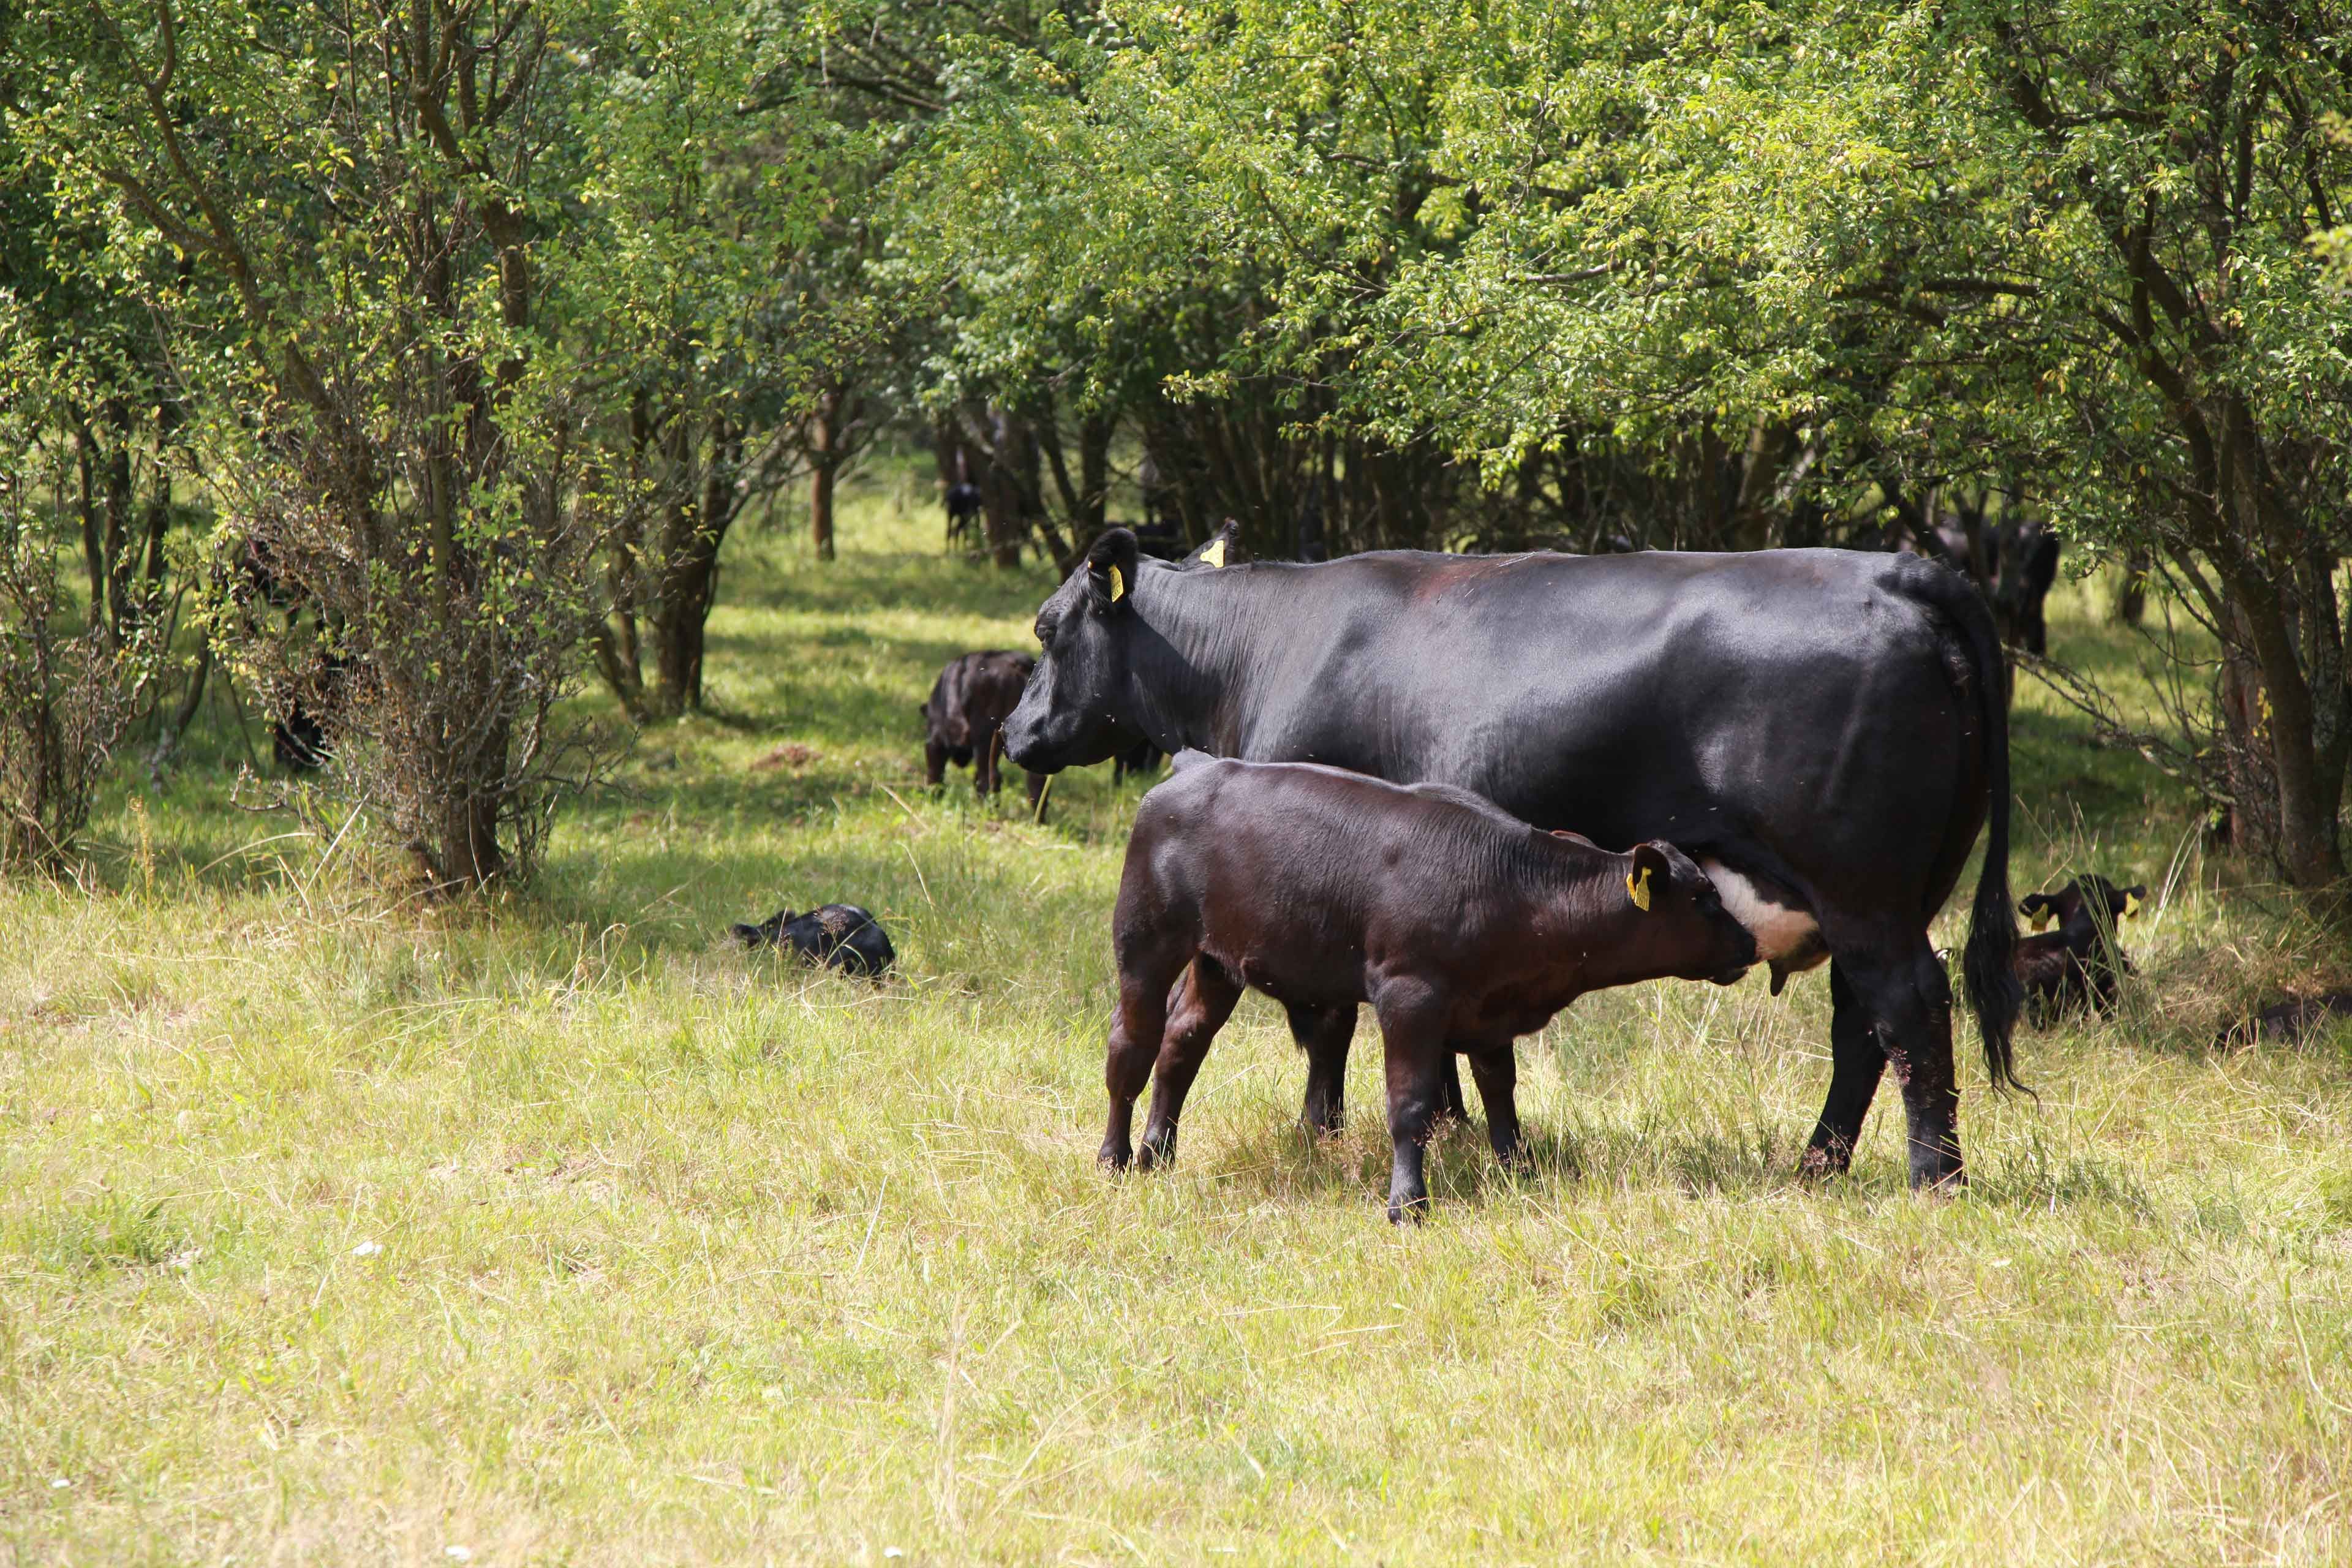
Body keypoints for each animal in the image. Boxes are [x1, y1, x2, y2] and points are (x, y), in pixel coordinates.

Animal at [921, 651, 1047, 814]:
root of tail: (1018, 664)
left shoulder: (936, 742)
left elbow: (935, 773)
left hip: (984, 738)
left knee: (989, 777)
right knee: (1036, 783)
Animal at [1106, 753, 1757, 1220]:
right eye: (1704, 897)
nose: (1750, 943)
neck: (1512, 889)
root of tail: (1195, 765)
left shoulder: (1492, 1011)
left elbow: (1501, 1094)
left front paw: (1517, 1170)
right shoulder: (1409, 995)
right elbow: (1411, 1103)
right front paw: (1407, 1203)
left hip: (1217, 962)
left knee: (1182, 1043)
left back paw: (1157, 1152)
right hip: (1144, 943)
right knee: (1130, 1049)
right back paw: (1115, 1158)